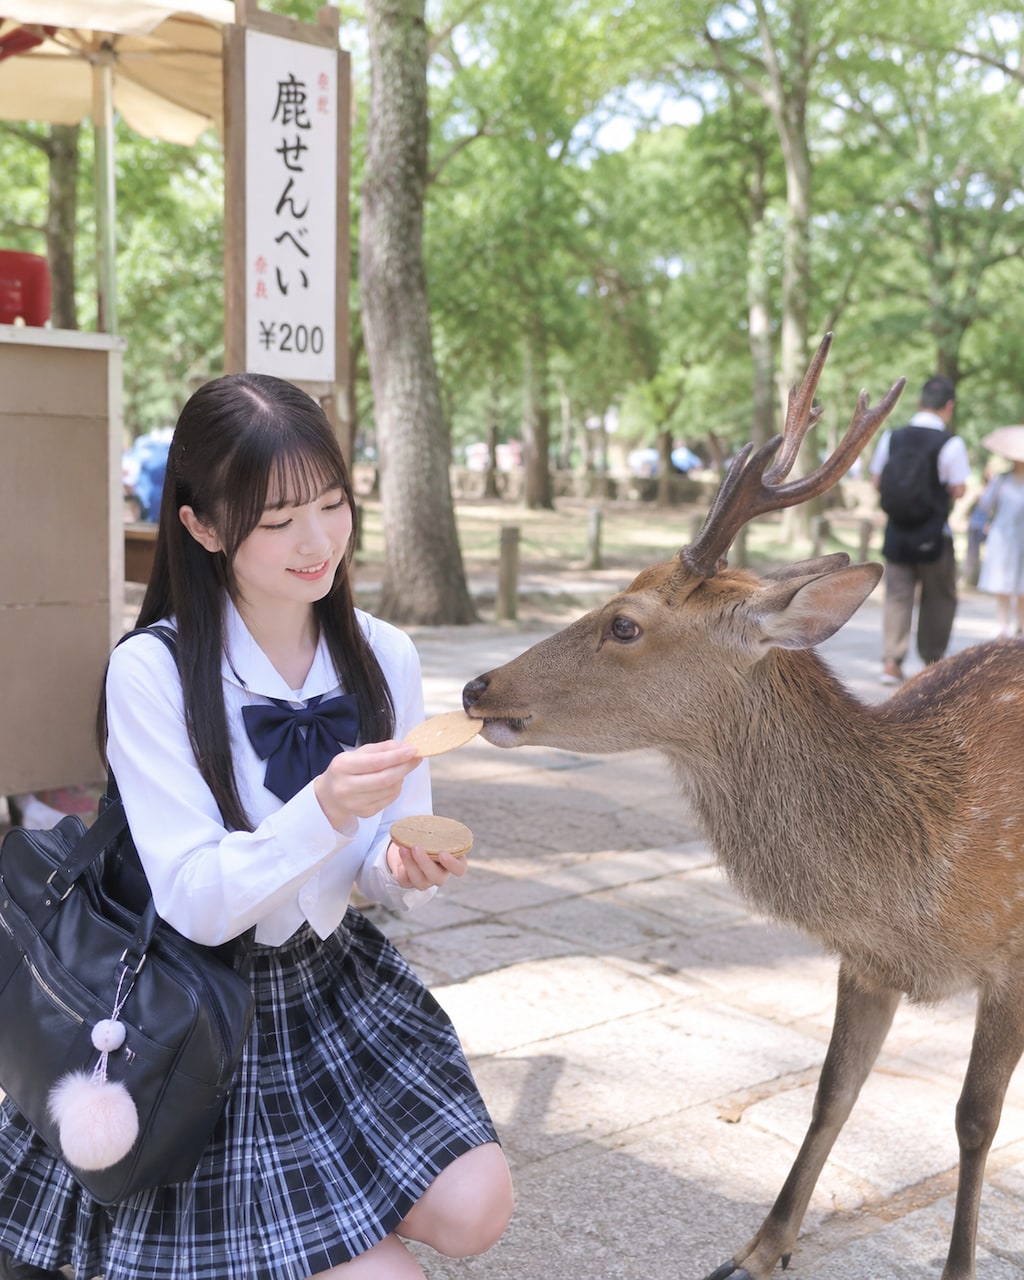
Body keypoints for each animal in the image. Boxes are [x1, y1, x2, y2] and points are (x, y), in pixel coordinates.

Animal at [461, 333, 1024, 1280]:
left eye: (624, 623)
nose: (476, 685)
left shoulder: (1013, 961)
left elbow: (973, 1122)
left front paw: (957, 1268)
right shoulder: (865, 960)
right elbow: (833, 1090)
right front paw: (761, 1246)